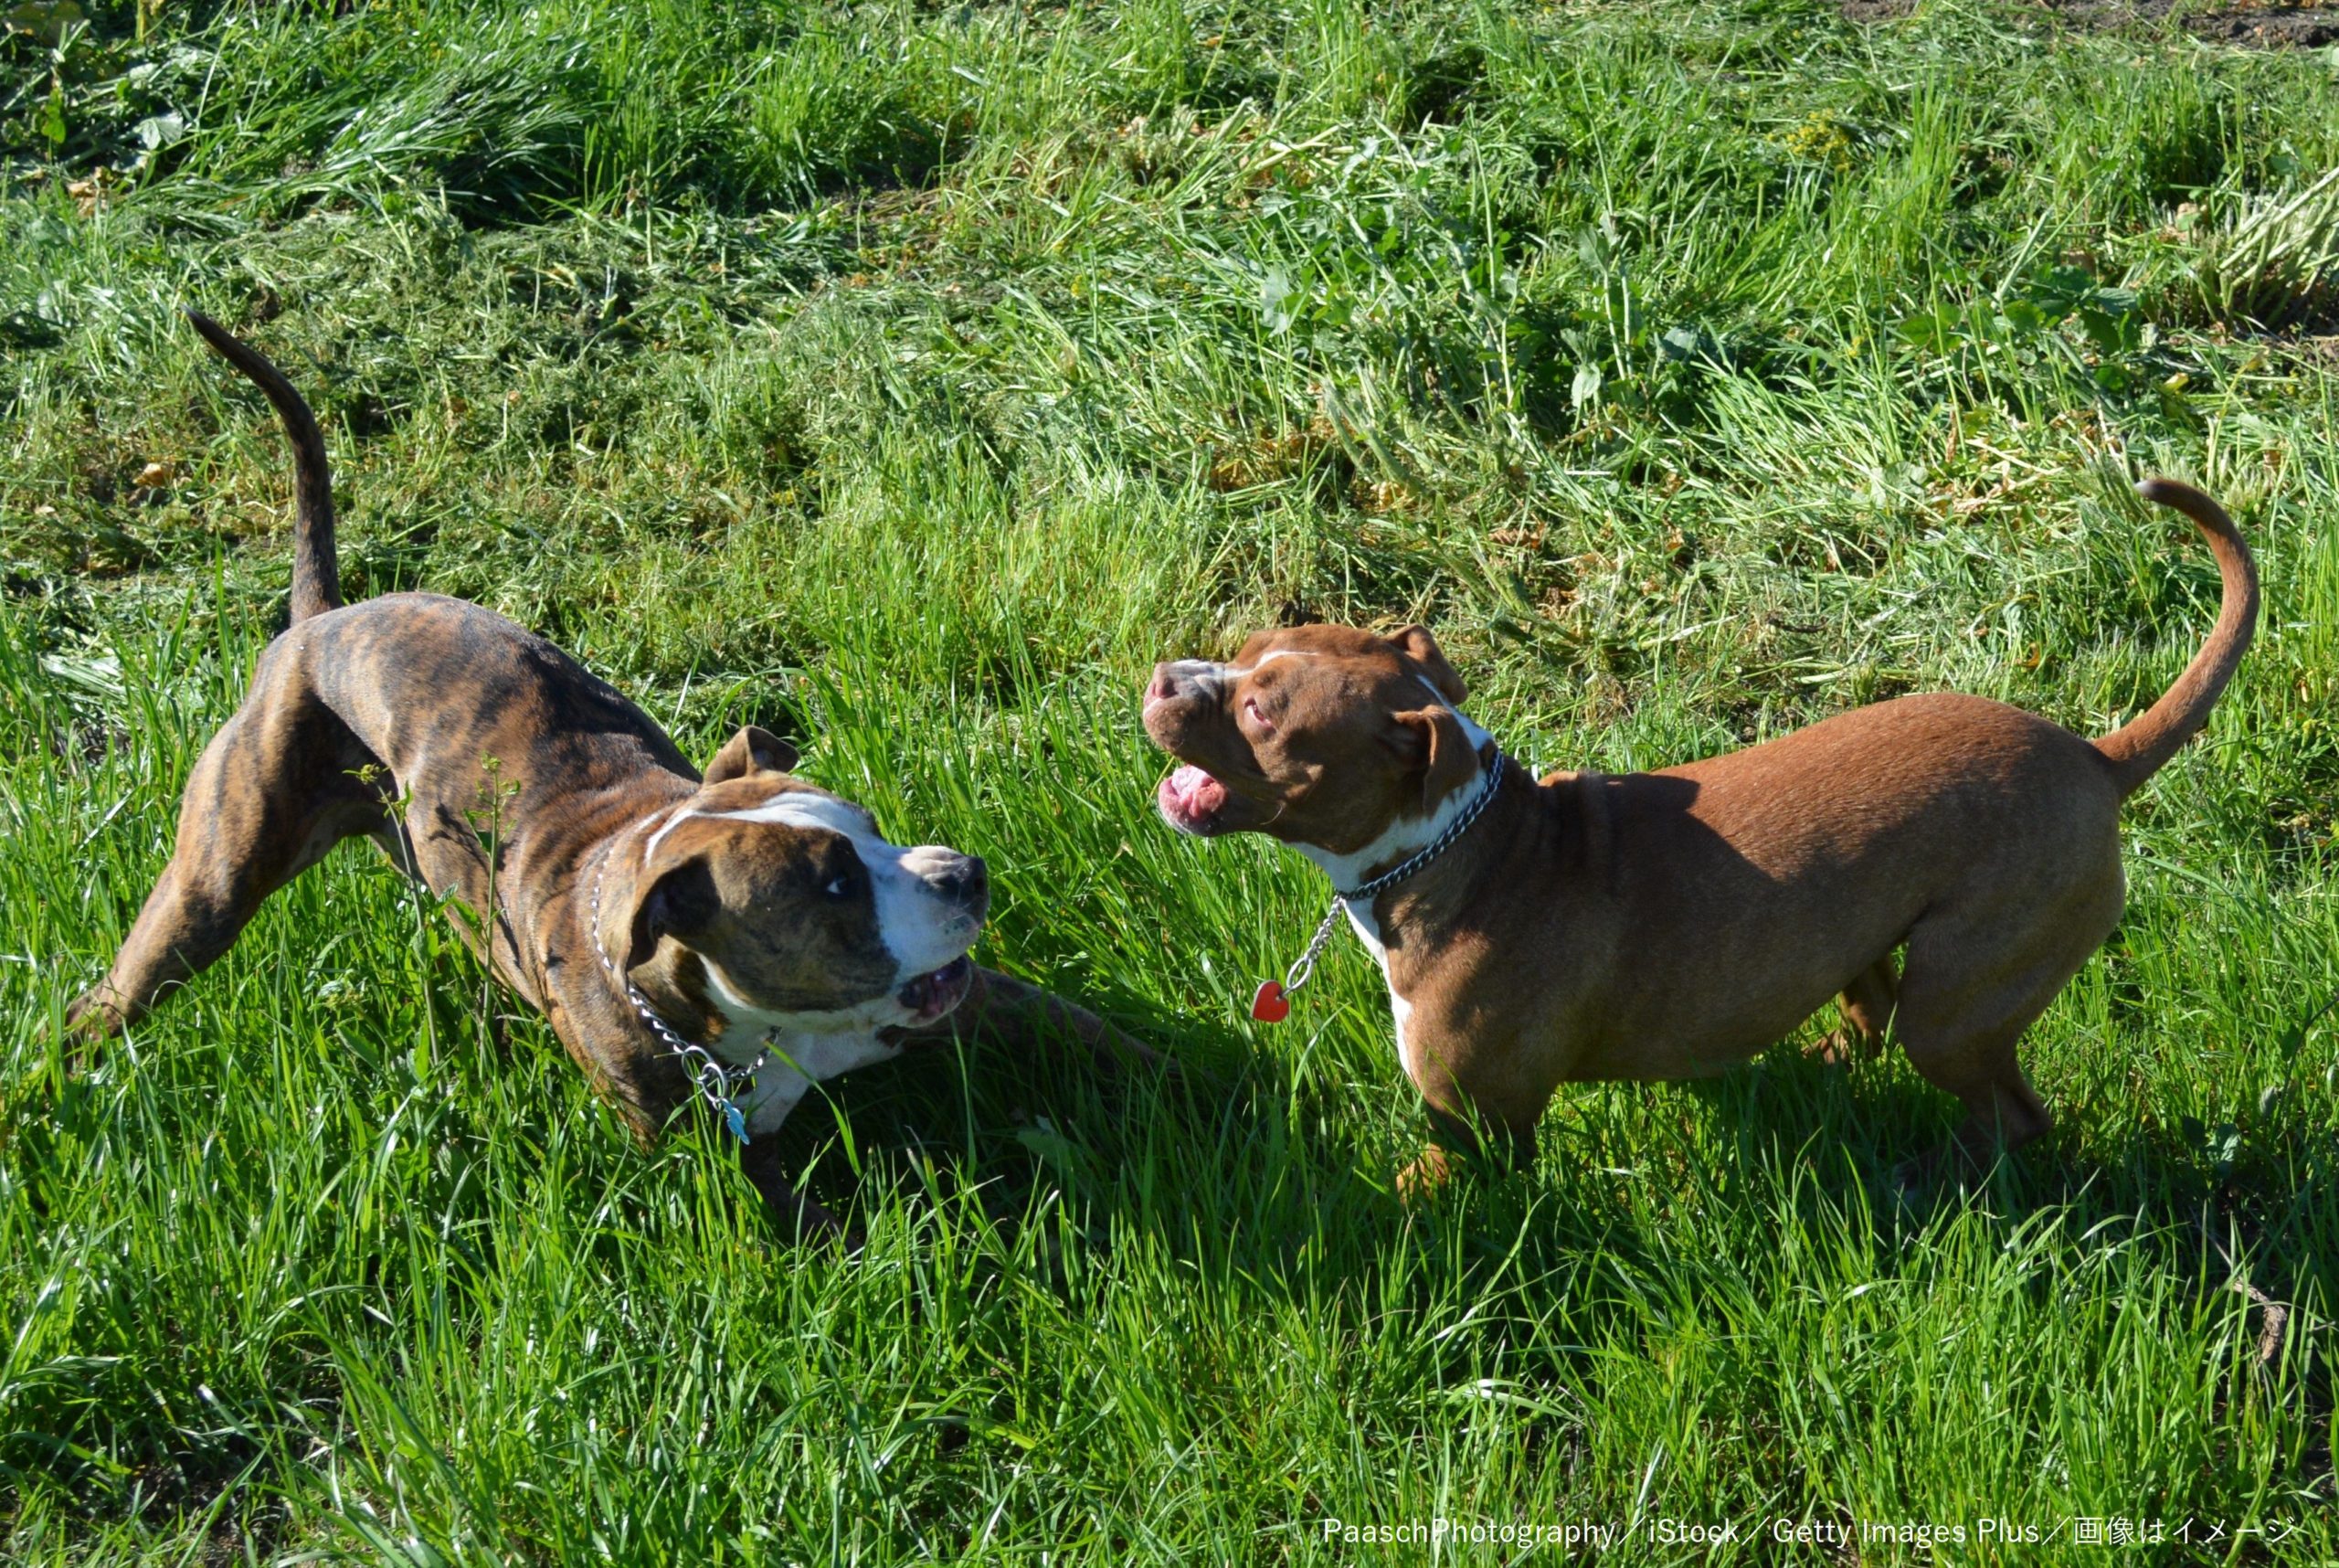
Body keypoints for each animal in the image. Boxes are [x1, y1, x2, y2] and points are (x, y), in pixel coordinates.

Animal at [68, 313, 1137, 1235]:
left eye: (873, 831)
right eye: (832, 887)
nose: (965, 874)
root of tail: (318, 623)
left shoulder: (981, 1003)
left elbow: (1118, 1043)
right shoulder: (717, 1163)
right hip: (213, 880)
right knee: (121, 988)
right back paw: (60, 1075)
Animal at [1141, 484, 2254, 1183]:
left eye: (1262, 716)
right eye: (1246, 646)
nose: (1162, 677)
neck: (1457, 845)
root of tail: (2095, 756)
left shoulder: (1480, 1125)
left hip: (1964, 993)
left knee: (2006, 1113)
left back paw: (1938, 1178)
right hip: (1862, 933)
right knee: (1868, 1012)